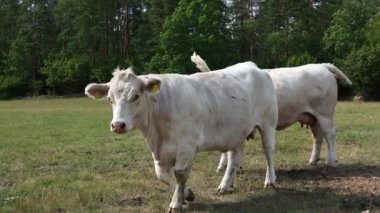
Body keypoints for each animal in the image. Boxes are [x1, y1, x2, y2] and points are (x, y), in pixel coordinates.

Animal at [85, 62, 276, 212]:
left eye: (135, 96)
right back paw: (225, 186)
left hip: (267, 124)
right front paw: (187, 194)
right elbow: (161, 175)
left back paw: (270, 181)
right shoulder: (158, 152)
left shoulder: (187, 146)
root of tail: (254, 67)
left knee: (268, 151)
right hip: (235, 132)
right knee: (234, 159)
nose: (118, 125)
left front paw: (176, 203)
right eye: (109, 99)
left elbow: (179, 174)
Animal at [190, 53, 354, 171]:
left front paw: (223, 166)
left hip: (325, 114)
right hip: (312, 117)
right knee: (318, 137)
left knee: (330, 134)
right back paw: (313, 160)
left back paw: (331, 161)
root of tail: (321, 66)